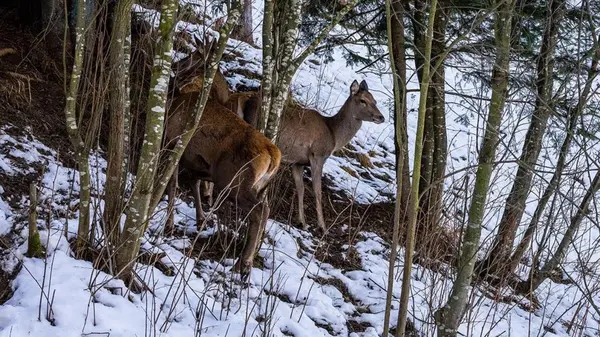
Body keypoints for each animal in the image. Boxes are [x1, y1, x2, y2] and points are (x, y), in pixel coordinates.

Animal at [163, 50, 282, 276]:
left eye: (191, 57)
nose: (175, 66)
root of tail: (274, 156)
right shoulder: (199, 164)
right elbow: (195, 184)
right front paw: (201, 219)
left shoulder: (173, 144)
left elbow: (171, 185)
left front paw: (169, 225)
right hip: (256, 185)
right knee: (265, 209)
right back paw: (247, 259)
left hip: (234, 181)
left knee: (260, 211)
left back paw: (243, 263)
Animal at [234, 80, 384, 230]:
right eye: (363, 100)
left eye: (375, 100)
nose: (381, 117)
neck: (333, 135)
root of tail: (243, 99)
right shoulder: (317, 154)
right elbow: (317, 190)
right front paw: (322, 226)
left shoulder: (297, 162)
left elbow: (300, 188)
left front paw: (302, 222)